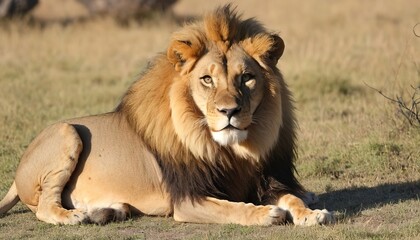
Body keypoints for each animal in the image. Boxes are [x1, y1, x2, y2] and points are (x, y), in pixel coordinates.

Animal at [0, 6, 334, 227]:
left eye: (247, 78)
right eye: (207, 80)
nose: (229, 112)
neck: (231, 149)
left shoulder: (265, 181)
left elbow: (290, 197)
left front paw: (309, 213)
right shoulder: (188, 200)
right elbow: (232, 208)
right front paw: (264, 213)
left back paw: (107, 211)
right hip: (67, 132)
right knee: (44, 205)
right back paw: (73, 216)